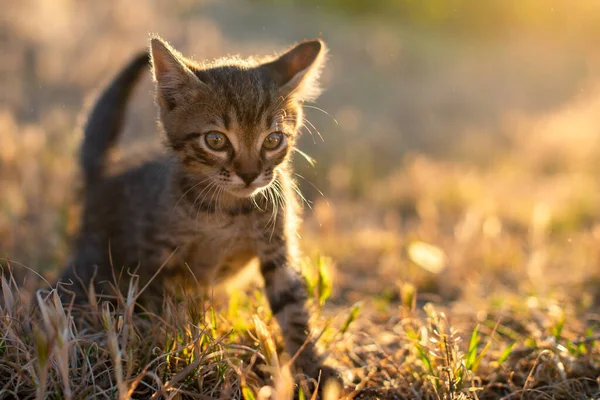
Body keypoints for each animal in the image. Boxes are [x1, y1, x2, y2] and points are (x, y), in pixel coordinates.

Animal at [61, 36, 340, 384]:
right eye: (216, 140)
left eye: (273, 140)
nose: (249, 174)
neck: (227, 211)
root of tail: (103, 174)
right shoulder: (159, 255)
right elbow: (164, 309)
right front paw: (171, 354)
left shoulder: (278, 249)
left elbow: (294, 309)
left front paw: (315, 366)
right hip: (94, 266)